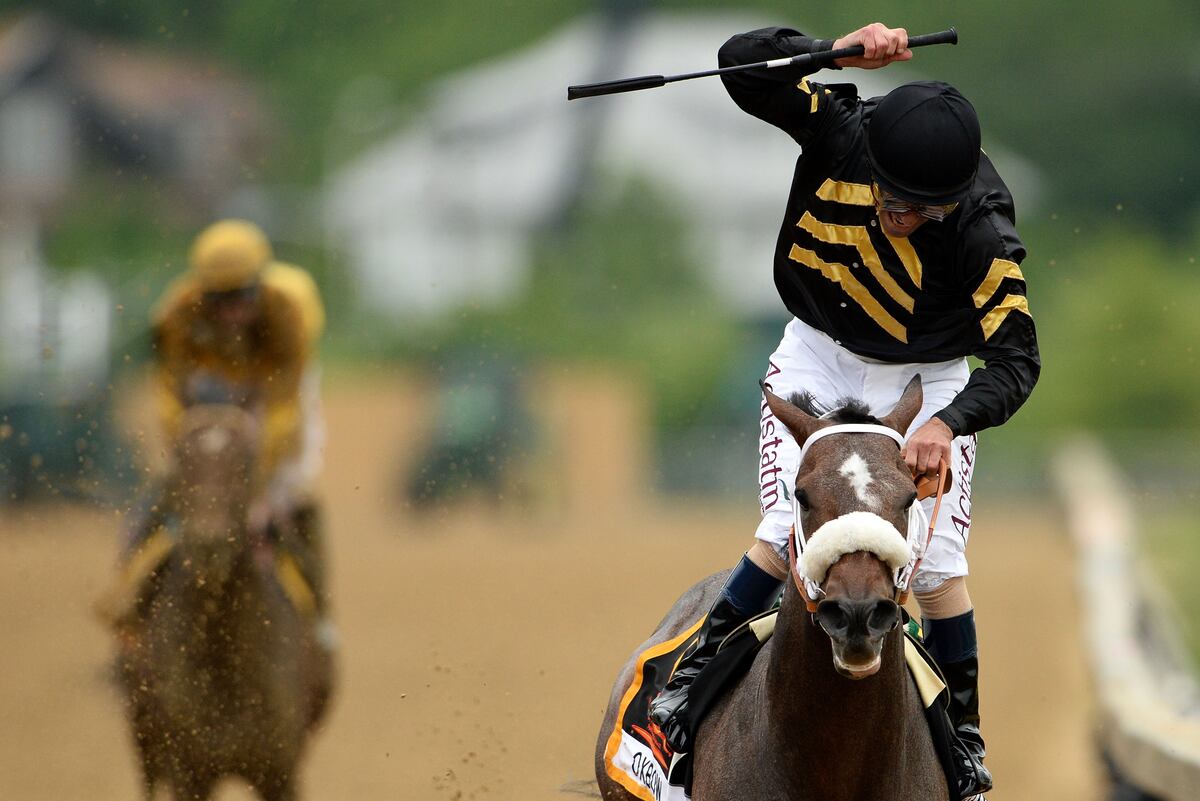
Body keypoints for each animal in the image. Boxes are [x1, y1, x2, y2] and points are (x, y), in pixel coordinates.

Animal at [117, 404, 330, 801]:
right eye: (181, 461)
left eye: (244, 464)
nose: (208, 543)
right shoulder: (187, 769)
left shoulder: (280, 770)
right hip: (144, 741)